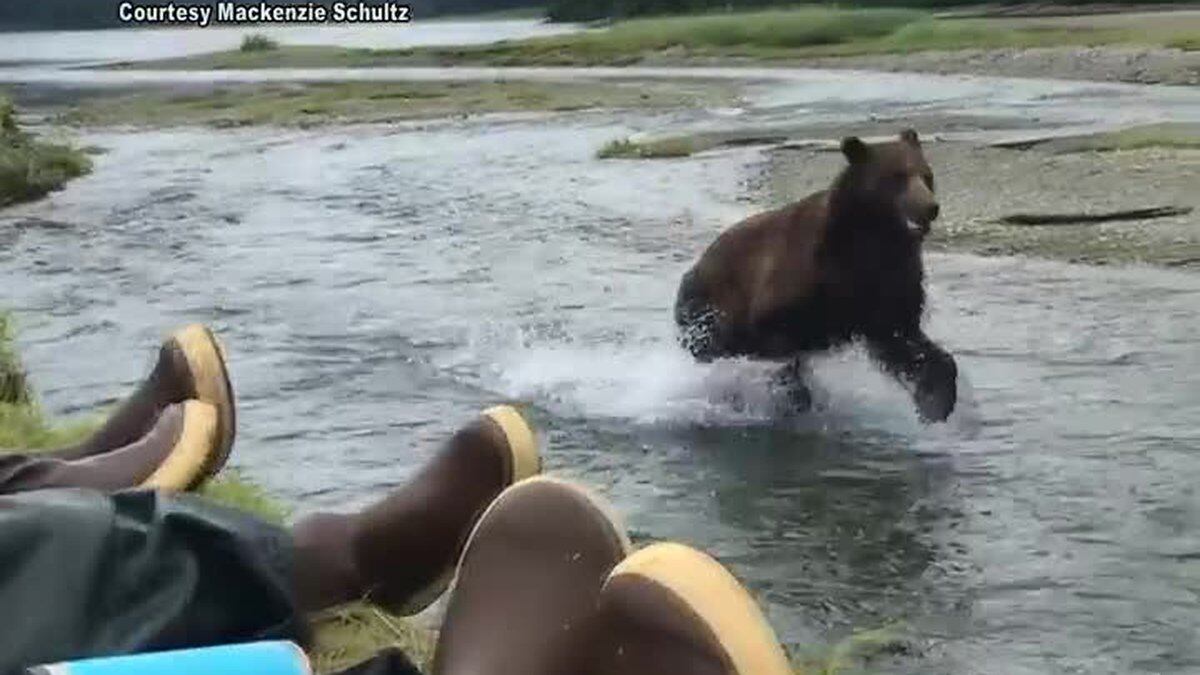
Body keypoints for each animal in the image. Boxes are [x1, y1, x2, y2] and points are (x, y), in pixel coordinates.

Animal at [676, 128, 955, 420]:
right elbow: (779, 341)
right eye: (896, 177)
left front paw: (936, 402)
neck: (872, 239)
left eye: (926, 175)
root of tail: (698, 263)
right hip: (709, 308)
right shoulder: (800, 284)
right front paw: (793, 396)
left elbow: (904, 342)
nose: (930, 207)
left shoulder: (888, 285)